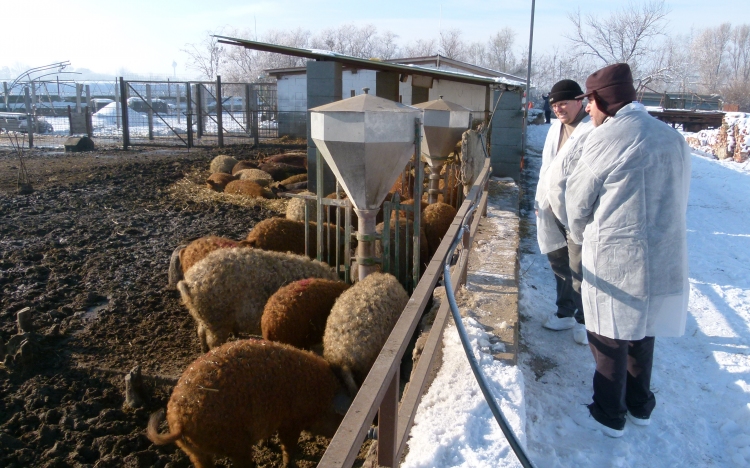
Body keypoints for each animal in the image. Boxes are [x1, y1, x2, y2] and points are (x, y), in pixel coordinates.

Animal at [148, 338, 352, 466]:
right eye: (338, 419)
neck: (321, 398)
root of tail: (178, 422)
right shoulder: (290, 423)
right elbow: (288, 448)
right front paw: (287, 463)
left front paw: (265, 445)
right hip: (236, 444)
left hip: (194, 452)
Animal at [176, 249, 338, 352]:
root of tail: (189, 282)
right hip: (217, 319)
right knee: (213, 341)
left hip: (205, 317)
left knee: (200, 332)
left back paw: (203, 351)